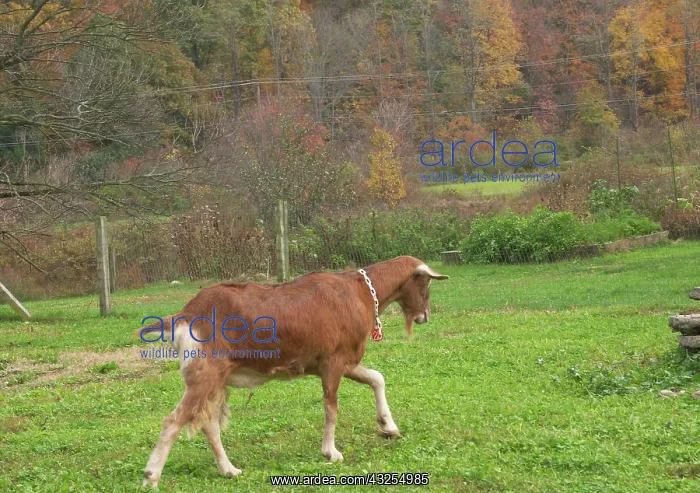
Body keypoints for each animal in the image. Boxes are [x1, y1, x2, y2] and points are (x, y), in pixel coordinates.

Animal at [136, 255, 448, 487]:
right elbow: (331, 407)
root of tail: (183, 315)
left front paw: (389, 428)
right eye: (426, 285)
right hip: (204, 372)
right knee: (174, 420)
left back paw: (230, 470)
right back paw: (152, 476)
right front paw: (331, 452)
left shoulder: (340, 362)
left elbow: (377, 378)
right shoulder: (333, 361)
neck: (360, 292)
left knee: (208, 424)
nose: (425, 316)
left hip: (216, 379)